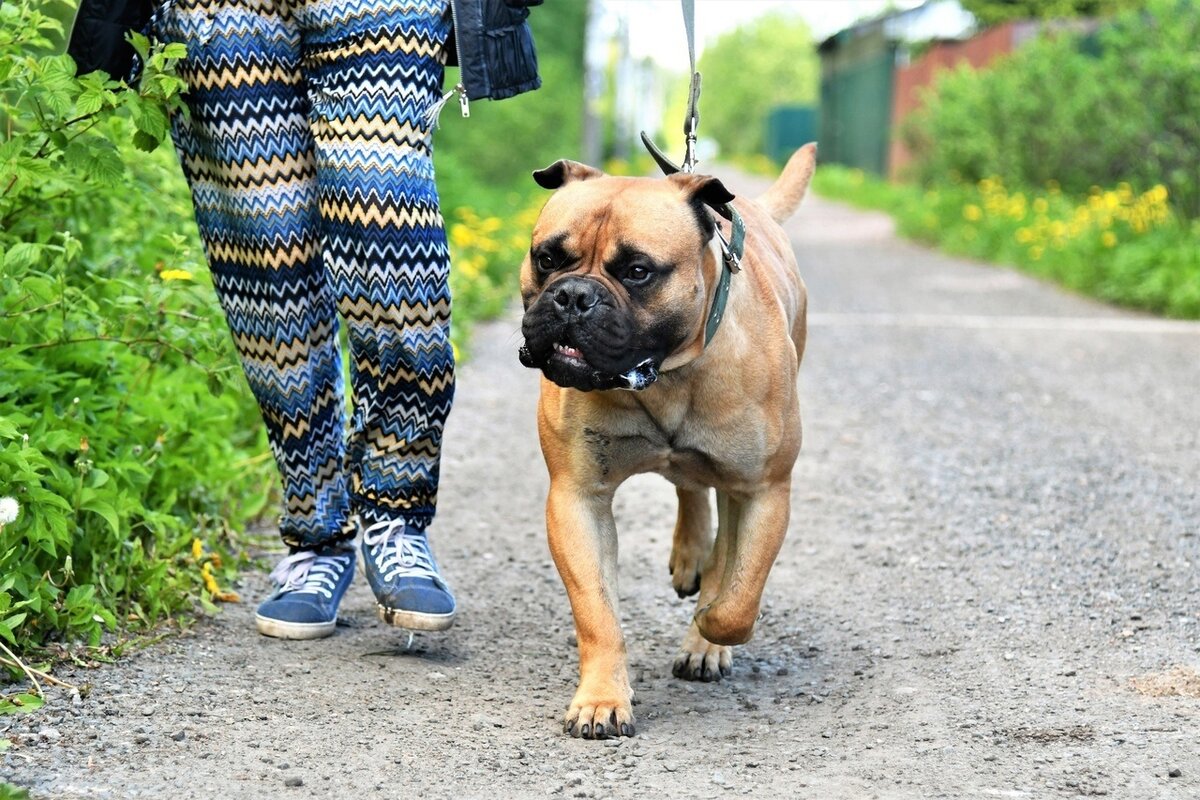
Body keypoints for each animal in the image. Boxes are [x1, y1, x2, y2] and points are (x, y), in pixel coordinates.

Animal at [516, 145, 816, 738]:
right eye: (547, 258)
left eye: (638, 272)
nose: (573, 296)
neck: (665, 375)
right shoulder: (577, 499)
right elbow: (597, 613)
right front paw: (602, 699)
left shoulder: (764, 490)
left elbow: (738, 599)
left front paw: (709, 626)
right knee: (689, 487)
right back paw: (688, 553)